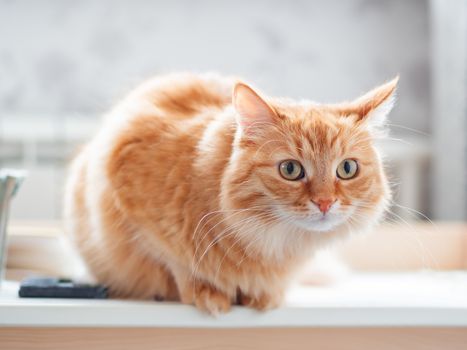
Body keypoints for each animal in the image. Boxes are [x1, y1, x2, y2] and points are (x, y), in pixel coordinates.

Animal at [64, 74, 396, 314]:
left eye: (347, 168)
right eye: (290, 169)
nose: (325, 202)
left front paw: (265, 296)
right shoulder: (128, 199)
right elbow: (175, 261)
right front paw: (205, 292)